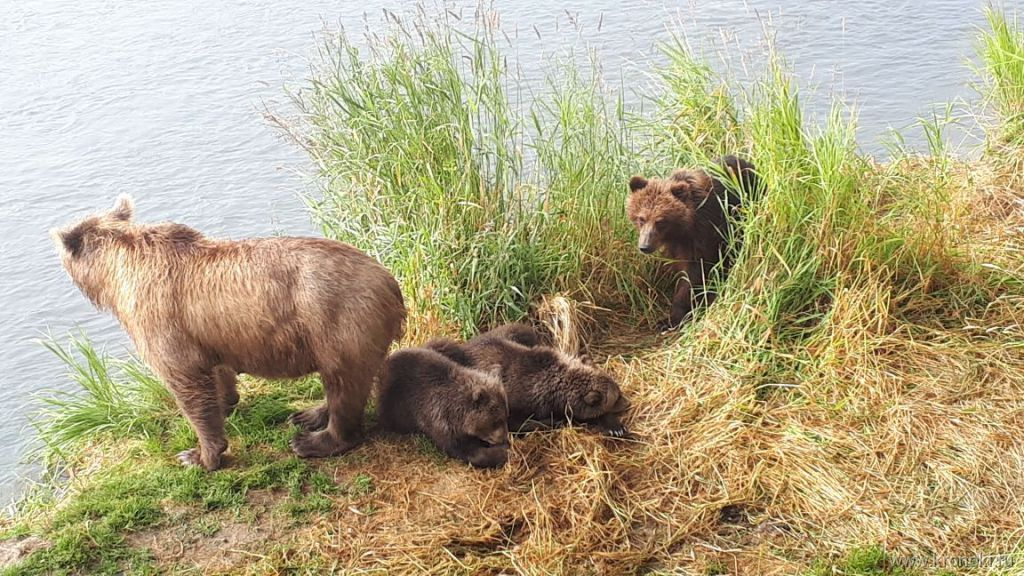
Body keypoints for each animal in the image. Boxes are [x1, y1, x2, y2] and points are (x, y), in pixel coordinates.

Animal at [50, 194, 403, 469]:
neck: (117, 275)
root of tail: (390, 282)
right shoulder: (206, 332)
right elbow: (217, 372)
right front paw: (226, 403)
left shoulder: (160, 319)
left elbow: (186, 383)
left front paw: (198, 455)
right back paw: (308, 415)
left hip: (339, 318)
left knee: (344, 383)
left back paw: (312, 440)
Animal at [622, 155, 761, 327]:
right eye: (641, 218)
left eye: (660, 221)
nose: (645, 246)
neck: (683, 228)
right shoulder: (677, 244)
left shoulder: (706, 232)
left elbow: (694, 273)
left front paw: (673, 317)